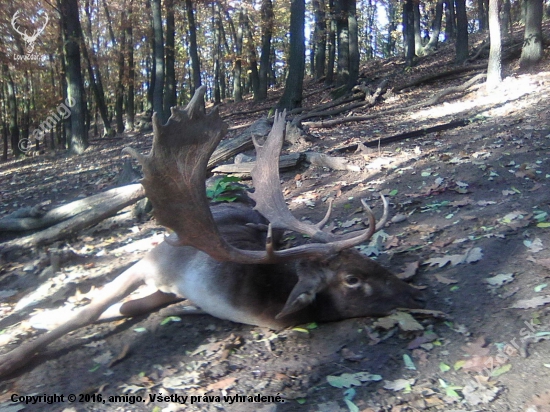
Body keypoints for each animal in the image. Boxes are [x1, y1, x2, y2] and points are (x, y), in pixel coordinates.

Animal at [0, 86, 424, 376]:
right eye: (352, 278)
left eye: (367, 258)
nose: (415, 292)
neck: (212, 291)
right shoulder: (154, 258)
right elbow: (90, 312)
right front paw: (14, 356)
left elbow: (125, 308)